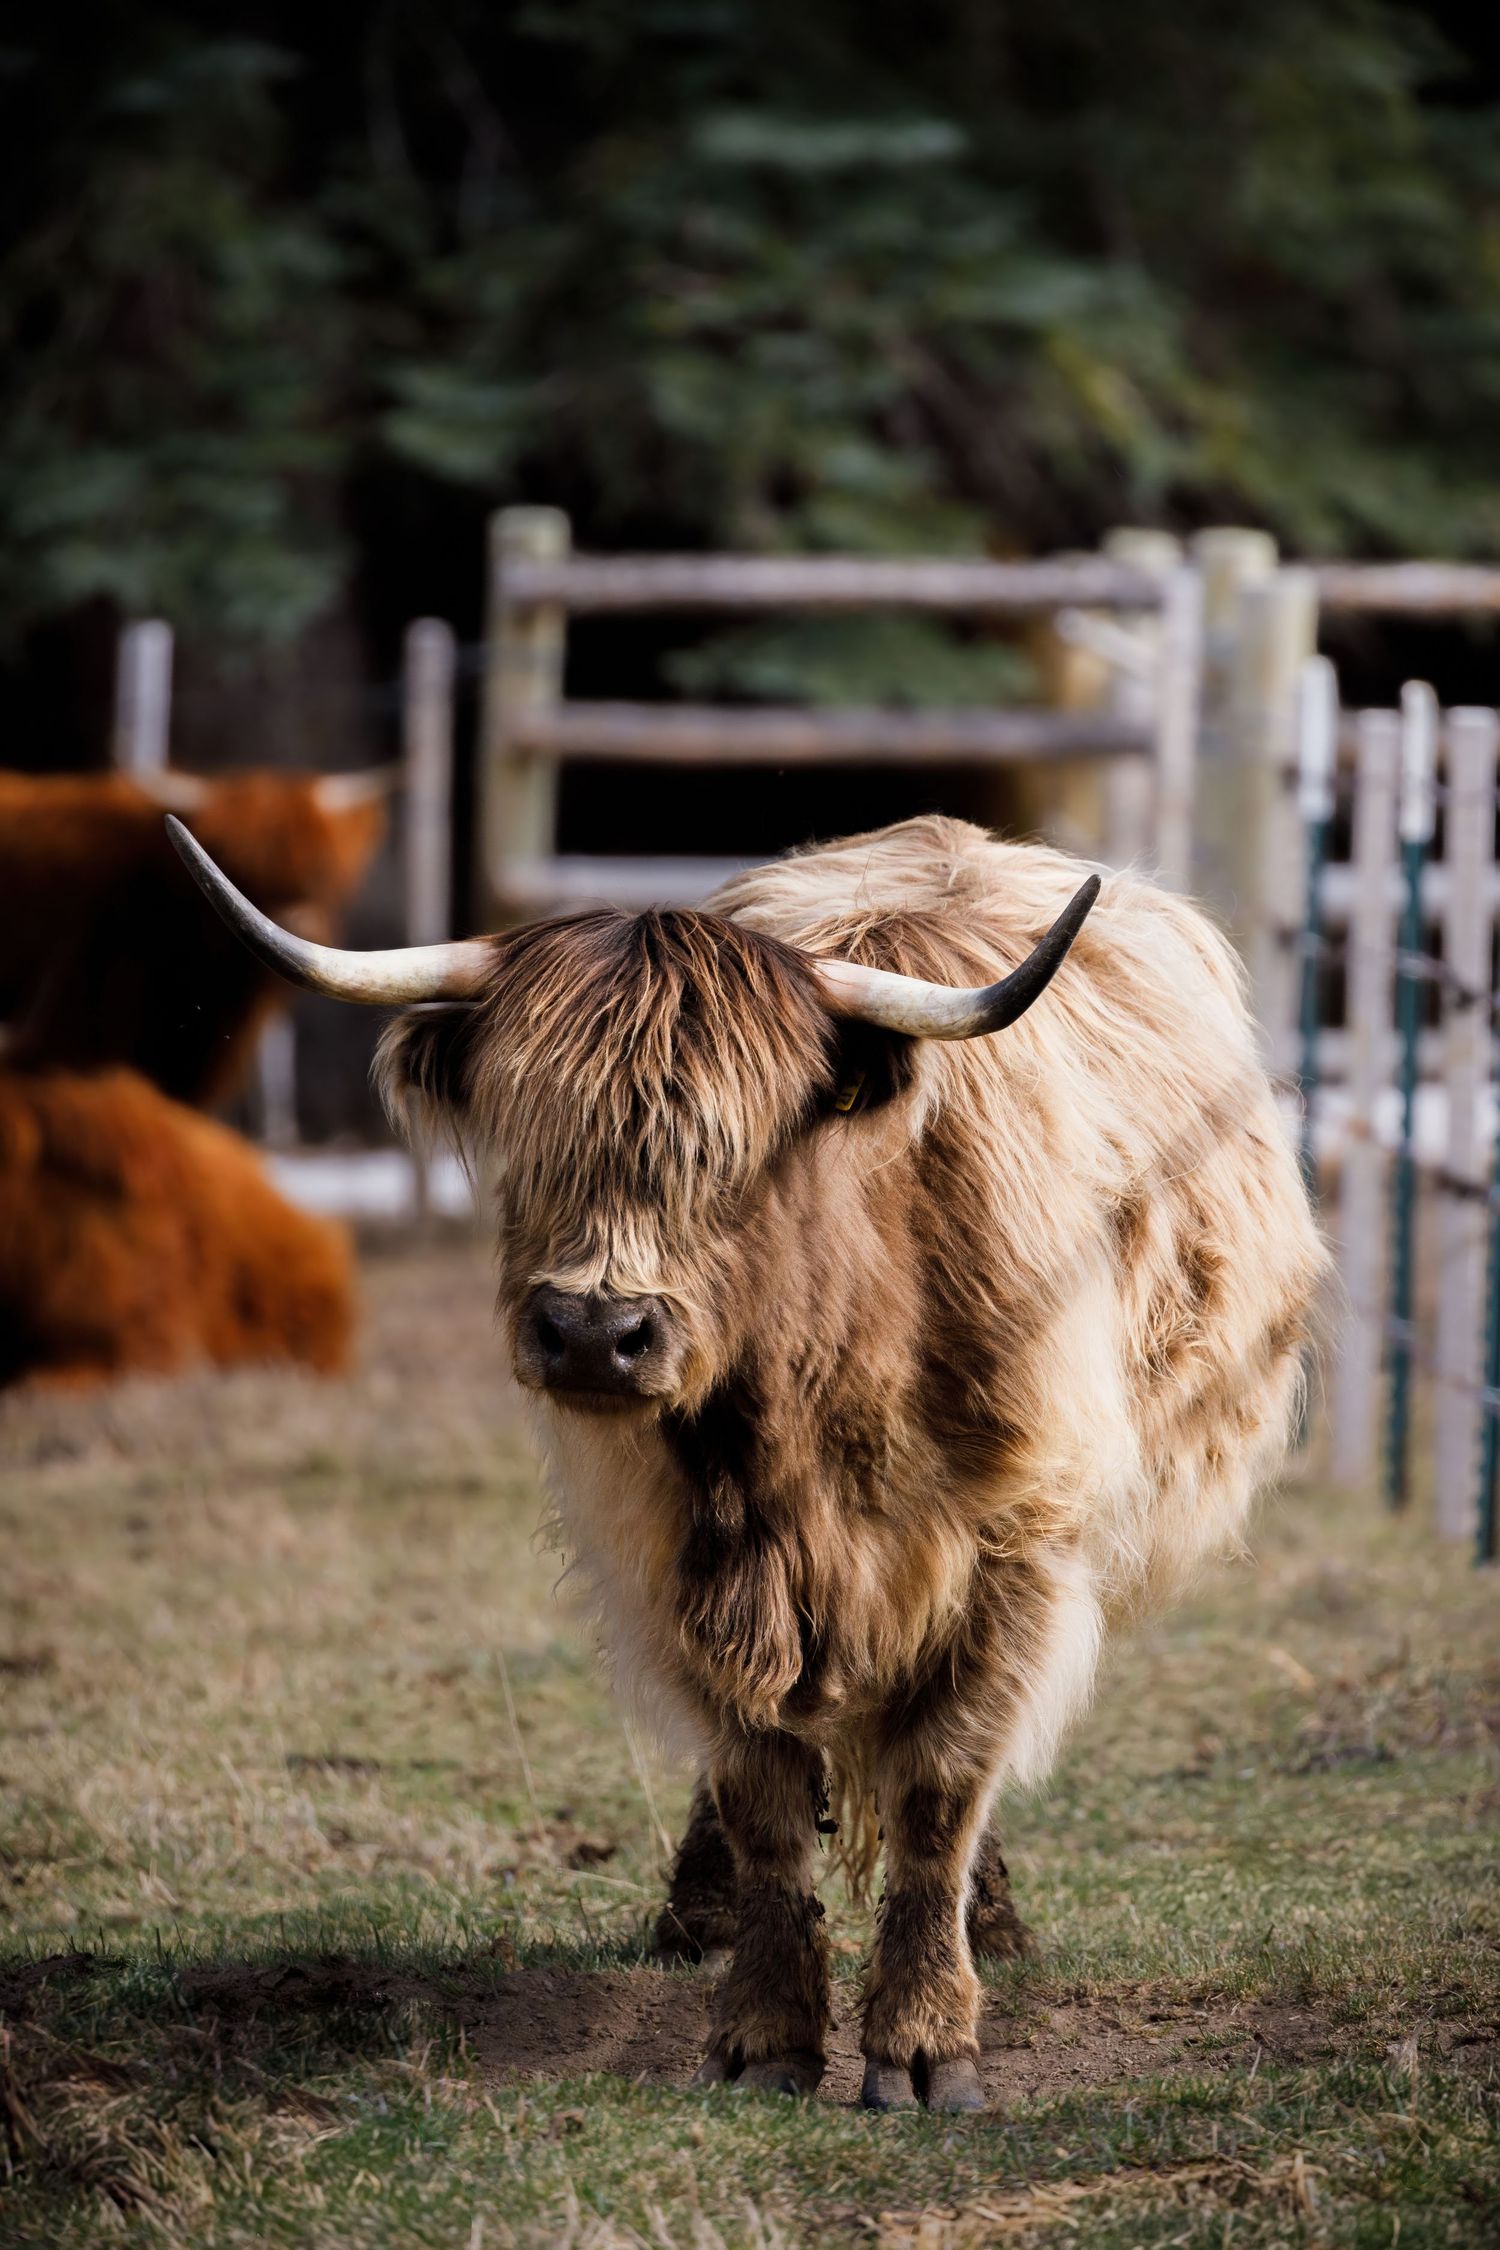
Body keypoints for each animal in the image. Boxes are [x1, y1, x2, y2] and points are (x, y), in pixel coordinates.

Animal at [168, 810, 1325, 2112]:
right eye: (528, 1138)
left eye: (732, 1154)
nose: (593, 1333)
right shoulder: (674, 1560)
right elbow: (762, 1795)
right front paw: (766, 2030)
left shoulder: (1017, 1550)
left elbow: (943, 1786)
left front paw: (926, 2040)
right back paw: (700, 1915)